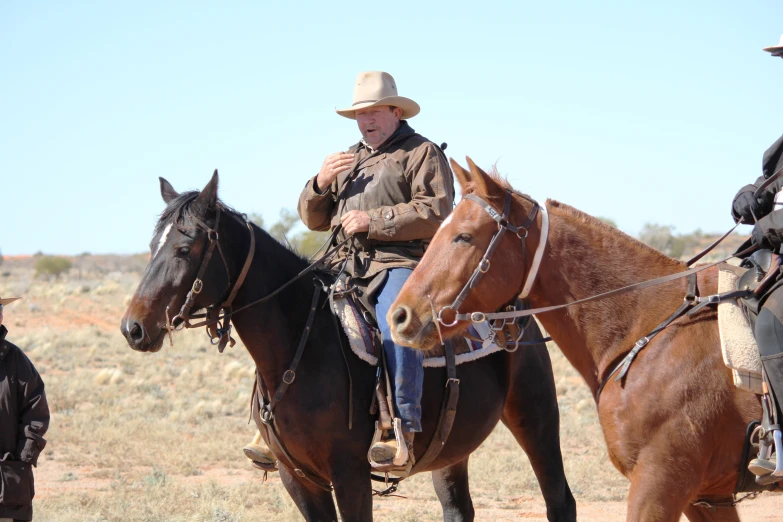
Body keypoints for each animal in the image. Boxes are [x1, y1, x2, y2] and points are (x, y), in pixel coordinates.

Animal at [121, 173, 576, 520]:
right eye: (152, 247)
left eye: (184, 248)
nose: (133, 328)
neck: (298, 348)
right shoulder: (297, 478)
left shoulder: (350, 473)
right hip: (451, 450)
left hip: (536, 418)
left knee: (560, 500)